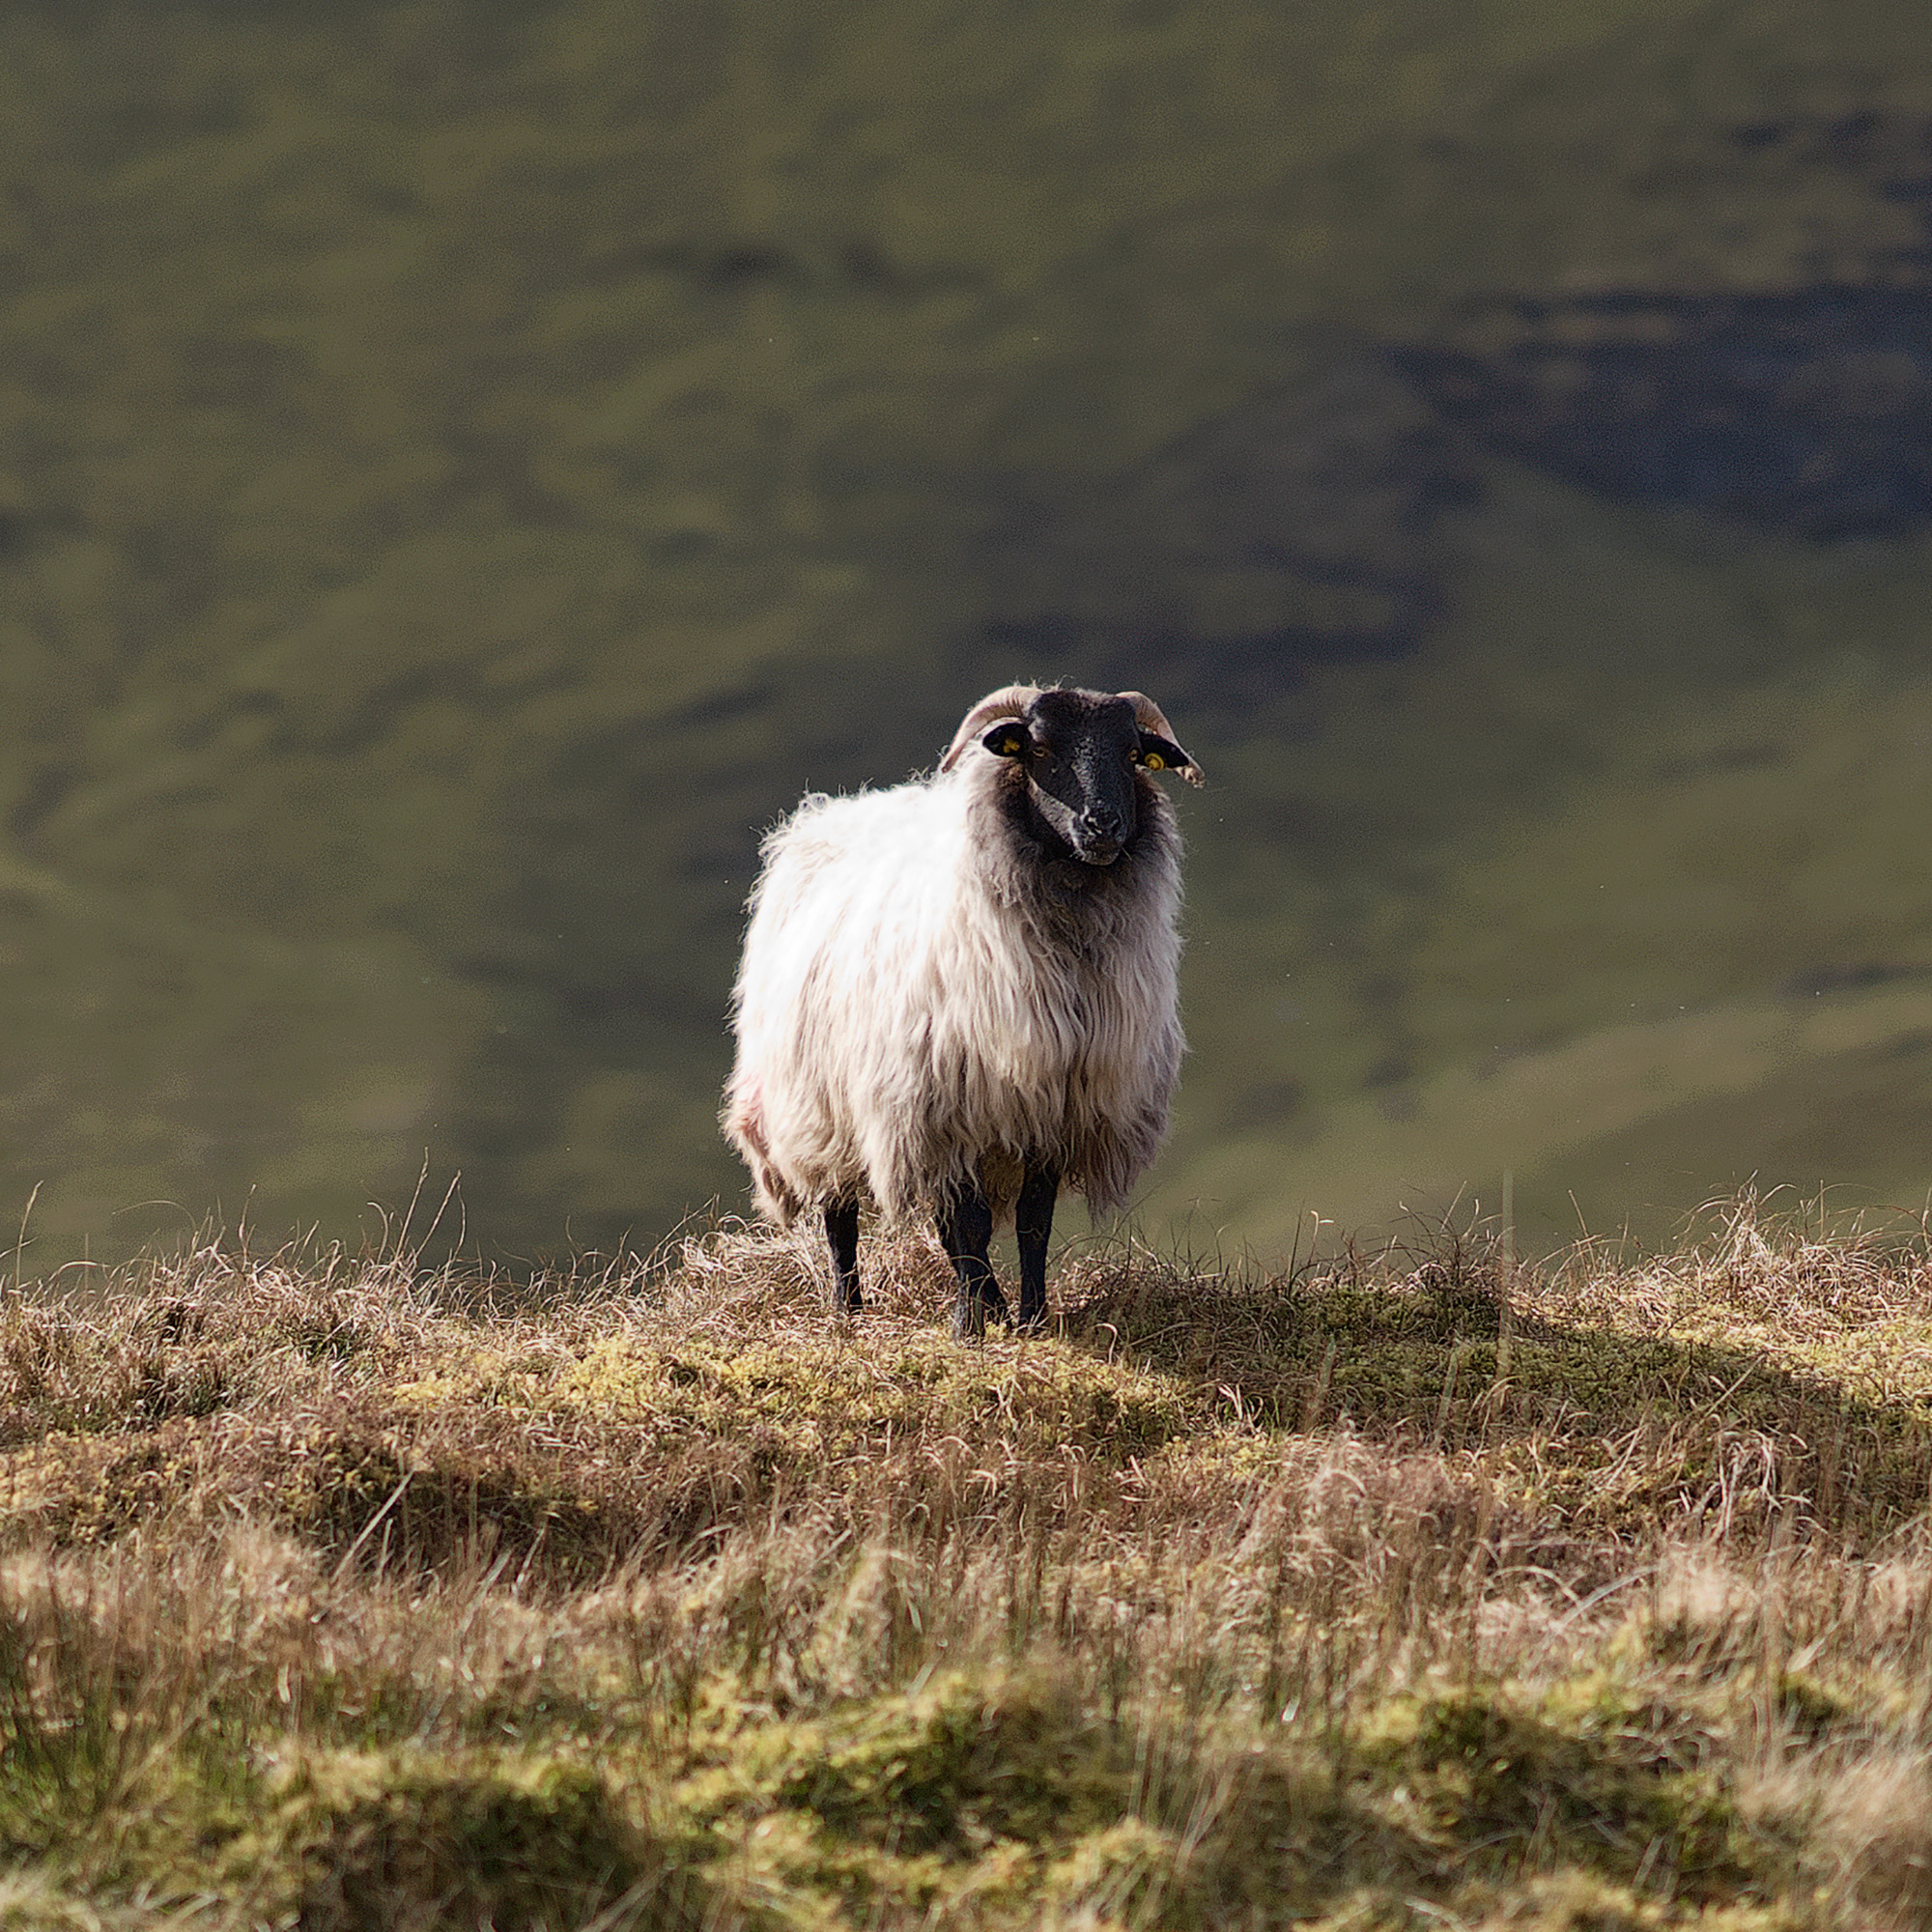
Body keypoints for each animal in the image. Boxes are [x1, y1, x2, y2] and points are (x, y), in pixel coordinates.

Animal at [721, 682, 1202, 1335]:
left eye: (1132, 754)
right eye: (1039, 749)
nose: (1103, 825)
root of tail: (824, 816)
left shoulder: (1051, 1113)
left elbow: (1031, 1223)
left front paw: (1030, 1316)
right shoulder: (945, 1114)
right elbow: (965, 1229)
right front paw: (968, 1325)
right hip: (817, 1103)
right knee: (841, 1215)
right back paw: (850, 1310)